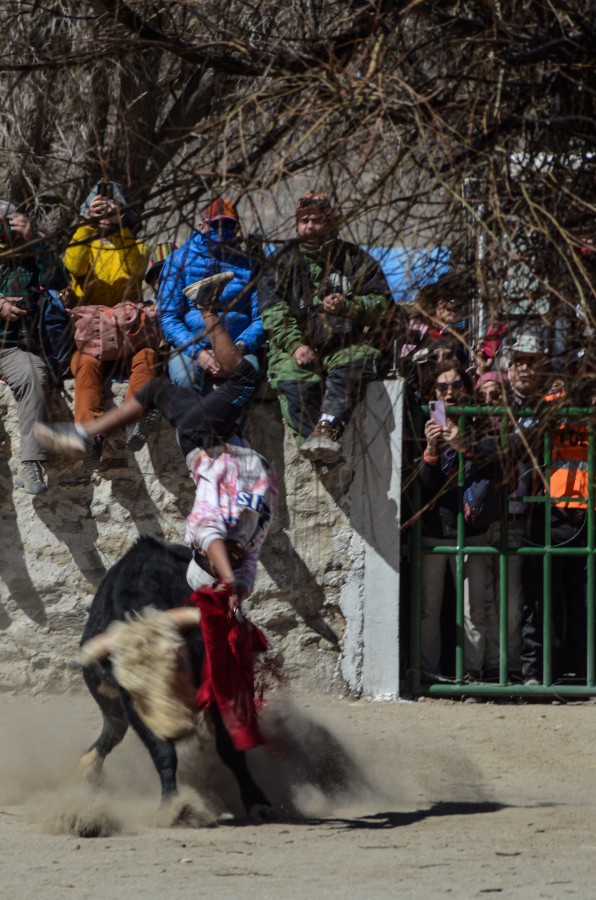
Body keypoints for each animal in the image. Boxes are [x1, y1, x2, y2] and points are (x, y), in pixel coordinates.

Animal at [77, 536, 270, 824]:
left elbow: (230, 748)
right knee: (113, 730)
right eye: (134, 688)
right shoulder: (131, 706)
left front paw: (258, 802)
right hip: (111, 707)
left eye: (179, 664)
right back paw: (87, 775)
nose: (176, 729)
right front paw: (175, 806)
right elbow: (162, 752)